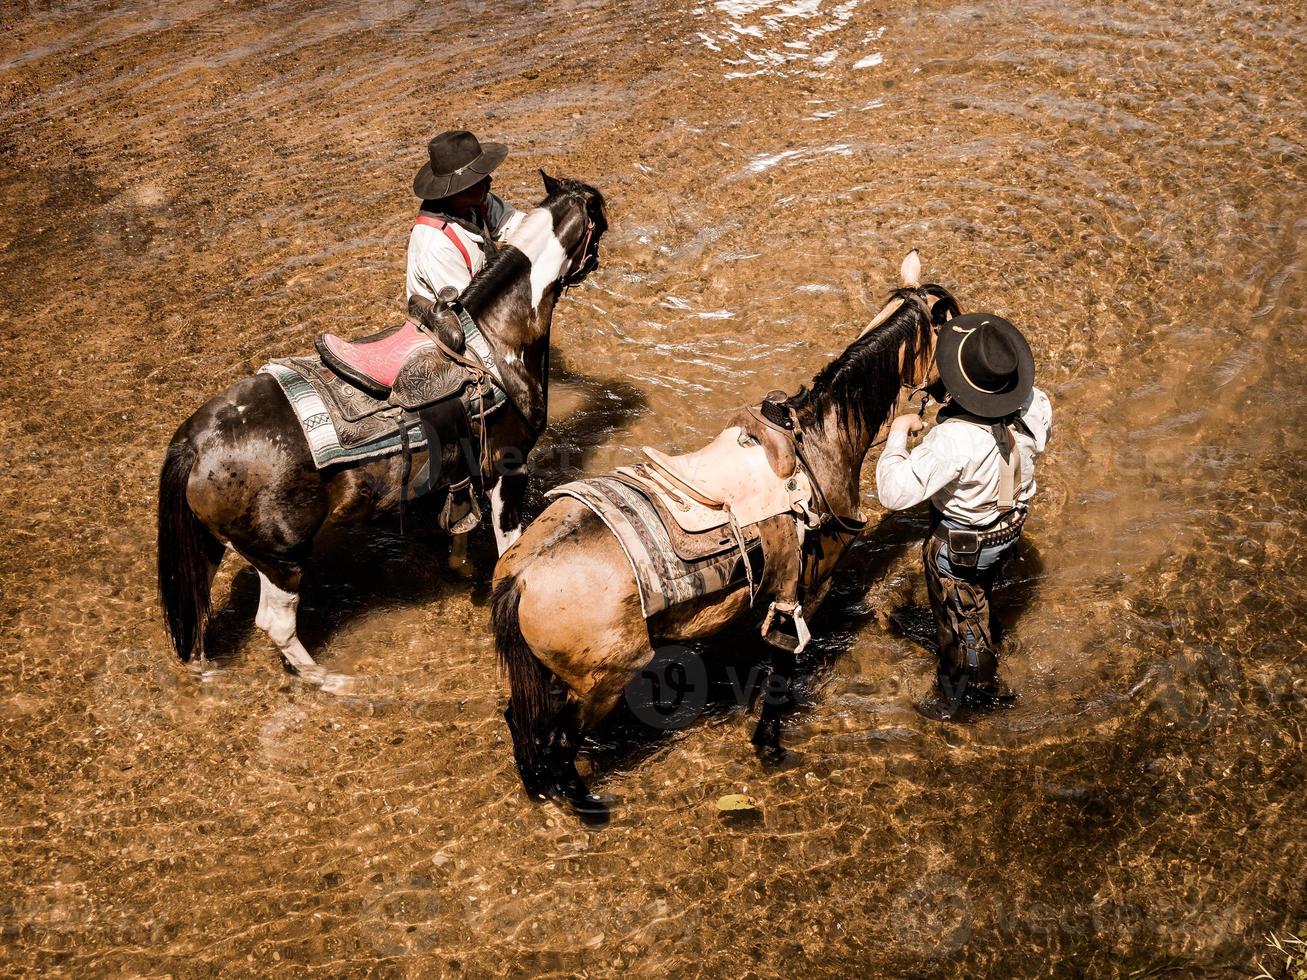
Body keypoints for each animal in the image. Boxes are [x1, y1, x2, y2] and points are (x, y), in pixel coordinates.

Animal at [160, 172, 609, 684]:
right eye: (599, 218)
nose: (598, 259)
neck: (497, 339)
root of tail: (195, 445)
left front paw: (457, 565)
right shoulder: (507, 470)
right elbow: (508, 545)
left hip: (209, 547)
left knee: (195, 603)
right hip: (282, 559)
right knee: (275, 623)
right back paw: (330, 681)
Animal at [491, 249, 961, 815]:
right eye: (954, 328)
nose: (952, 398)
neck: (820, 442)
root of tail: (523, 576)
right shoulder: (807, 590)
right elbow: (782, 671)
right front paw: (769, 744)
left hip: (546, 673)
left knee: (523, 720)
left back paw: (536, 785)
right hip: (604, 681)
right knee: (562, 740)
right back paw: (586, 803)